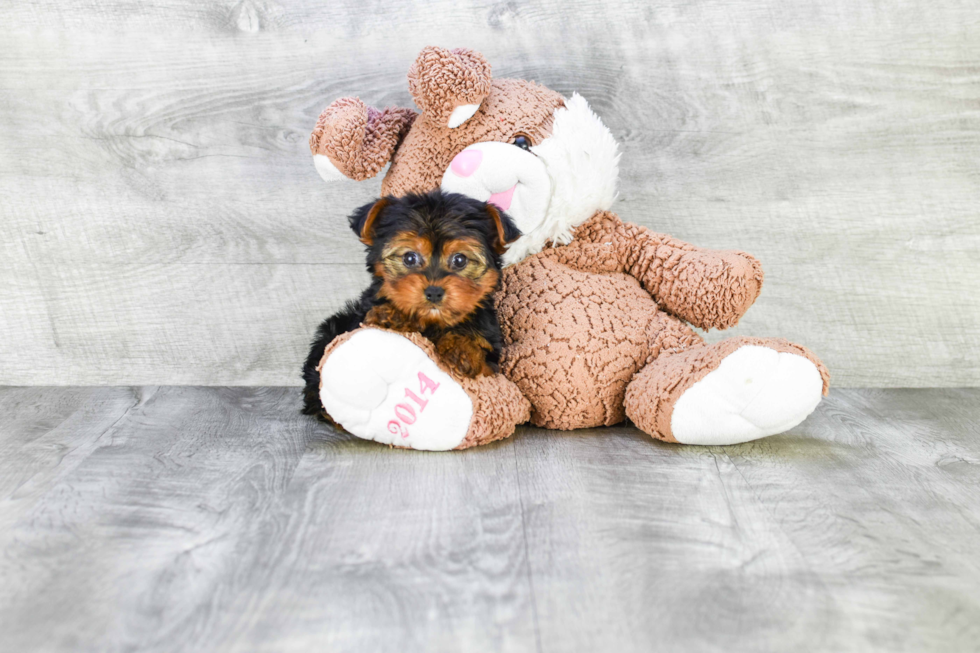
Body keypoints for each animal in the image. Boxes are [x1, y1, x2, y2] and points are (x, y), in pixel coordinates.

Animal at [302, 191, 520, 420]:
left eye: (460, 260)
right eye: (409, 258)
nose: (434, 291)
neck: (433, 321)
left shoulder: (492, 356)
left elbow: (479, 353)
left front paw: (463, 349)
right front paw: (391, 314)